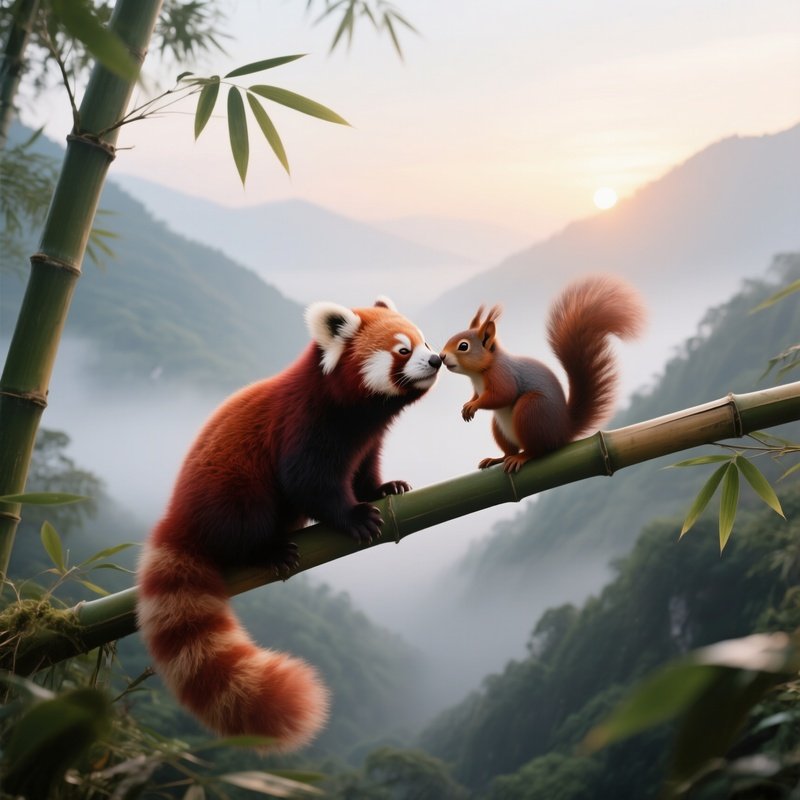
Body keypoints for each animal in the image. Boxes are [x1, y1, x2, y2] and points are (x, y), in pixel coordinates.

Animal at [137, 298, 441, 751]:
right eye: (403, 350)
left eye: (426, 341)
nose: (437, 359)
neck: (354, 414)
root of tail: (177, 518)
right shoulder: (306, 423)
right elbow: (307, 481)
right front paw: (354, 517)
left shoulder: (365, 441)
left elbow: (363, 472)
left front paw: (383, 489)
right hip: (231, 488)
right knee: (245, 515)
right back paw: (267, 549)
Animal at [440, 275, 645, 472]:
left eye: (463, 346)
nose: (441, 356)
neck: (479, 373)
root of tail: (563, 432)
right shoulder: (478, 387)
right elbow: (477, 395)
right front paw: (468, 404)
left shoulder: (502, 374)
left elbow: (503, 394)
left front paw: (473, 406)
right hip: (500, 427)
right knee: (509, 451)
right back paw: (498, 459)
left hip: (531, 411)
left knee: (538, 451)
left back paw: (522, 457)